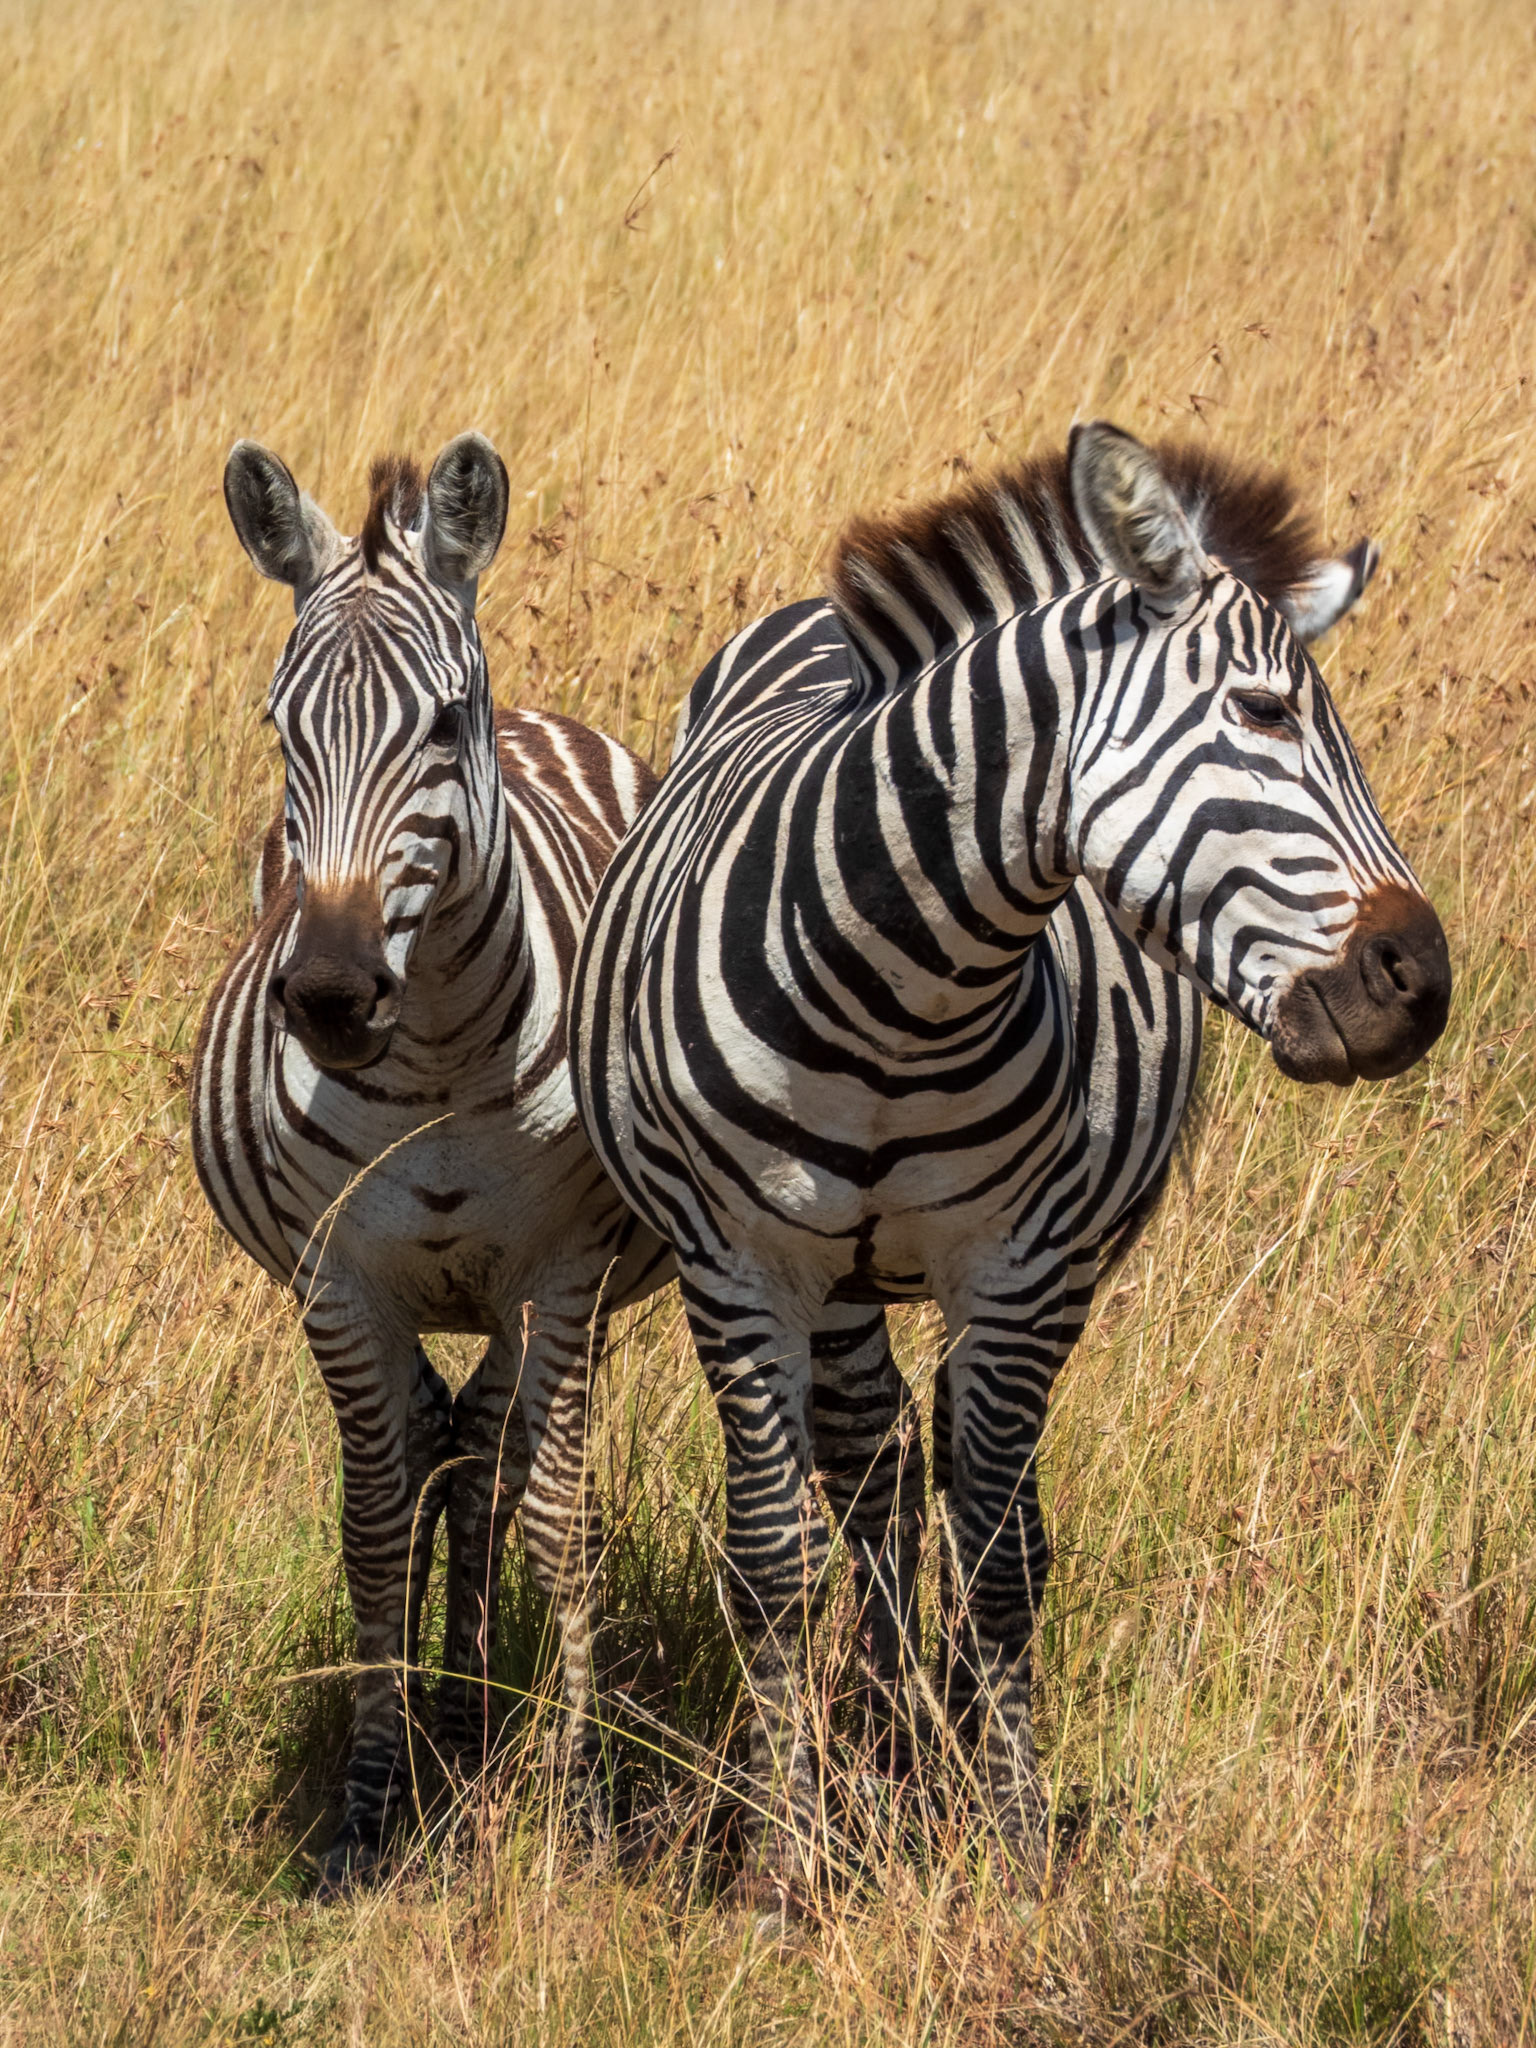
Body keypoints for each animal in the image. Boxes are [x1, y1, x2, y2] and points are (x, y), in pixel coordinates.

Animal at [191, 432, 669, 1893]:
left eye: (441, 727)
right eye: (279, 731)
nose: (331, 996)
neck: (445, 1058)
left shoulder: (564, 1272)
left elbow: (563, 1523)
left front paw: (579, 1807)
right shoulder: (338, 1279)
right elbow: (369, 1524)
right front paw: (367, 1805)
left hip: (545, 1297)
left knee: (490, 1449)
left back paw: (472, 1714)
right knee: (435, 1446)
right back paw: (440, 1721)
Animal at [569, 420, 1451, 1870]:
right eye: (1264, 713)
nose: (1419, 987)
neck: (898, 987)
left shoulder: (1027, 1275)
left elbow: (1002, 1559)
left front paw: (1016, 1834)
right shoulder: (737, 1269)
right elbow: (769, 1563)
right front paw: (785, 1851)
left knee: (958, 1481)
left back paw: (918, 1732)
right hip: (841, 1279)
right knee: (868, 1463)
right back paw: (875, 1731)